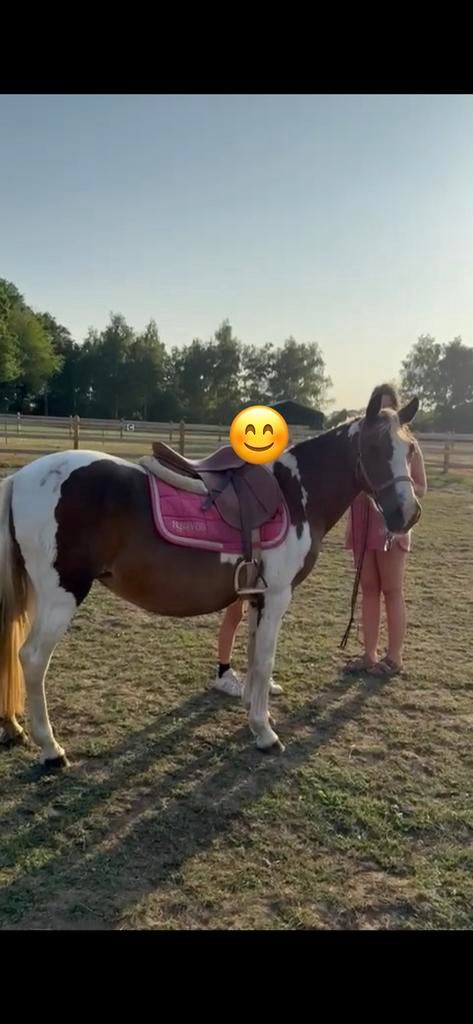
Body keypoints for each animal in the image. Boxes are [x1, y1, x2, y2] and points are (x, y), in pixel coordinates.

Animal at [0, 390, 421, 771]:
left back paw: (17, 729)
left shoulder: (257, 597)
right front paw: (265, 733)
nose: (408, 514)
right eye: (375, 446)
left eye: (410, 449)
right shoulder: (277, 596)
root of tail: (22, 477)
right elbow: (265, 660)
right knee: (32, 659)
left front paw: (255, 714)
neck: (294, 495)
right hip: (61, 594)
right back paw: (51, 749)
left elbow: (253, 655)